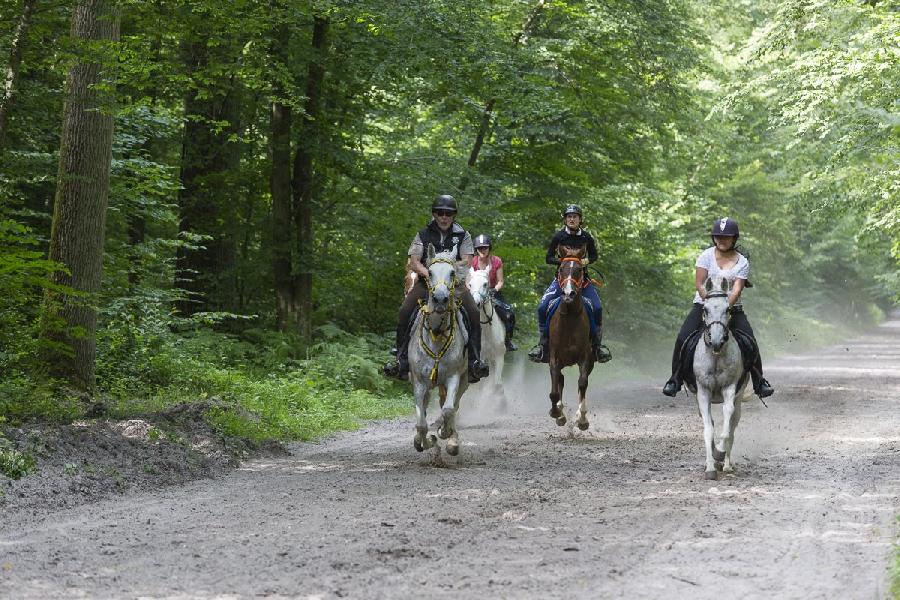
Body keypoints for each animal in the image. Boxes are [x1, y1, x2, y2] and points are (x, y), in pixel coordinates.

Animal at [404, 244, 468, 454]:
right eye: (429, 272)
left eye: (452, 272)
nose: (440, 299)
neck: (437, 334)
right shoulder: (419, 382)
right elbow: (421, 422)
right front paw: (425, 441)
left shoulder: (453, 377)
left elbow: (448, 410)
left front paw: (444, 433)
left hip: (464, 379)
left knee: (452, 406)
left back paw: (452, 440)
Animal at [468, 266, 502, 398]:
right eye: (470, 284)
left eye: (485, 284)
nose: (475, 303)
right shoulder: (479, 362)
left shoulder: (499, 356)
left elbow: (497, 385)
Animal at [544, 246, 596, 428]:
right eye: (561, 269)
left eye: (579, 269)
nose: (568, 293)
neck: (570, 318)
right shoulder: (554, 356)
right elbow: (553, 390)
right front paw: (556, 413)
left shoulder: (585, 357)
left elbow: (582, 383)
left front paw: (582, 419)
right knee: (560, 379)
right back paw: (560, 412)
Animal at [692, 276, 748, 478]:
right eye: (705, 310)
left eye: (728, 309)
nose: (716, 341)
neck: (716, 355)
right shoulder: (702, 392)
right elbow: (708, 430)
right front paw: (710, 467)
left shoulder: (729, 388)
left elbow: (727, 427)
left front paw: (719, 453)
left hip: (739, 398)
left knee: (732, 426)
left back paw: (727, 465)